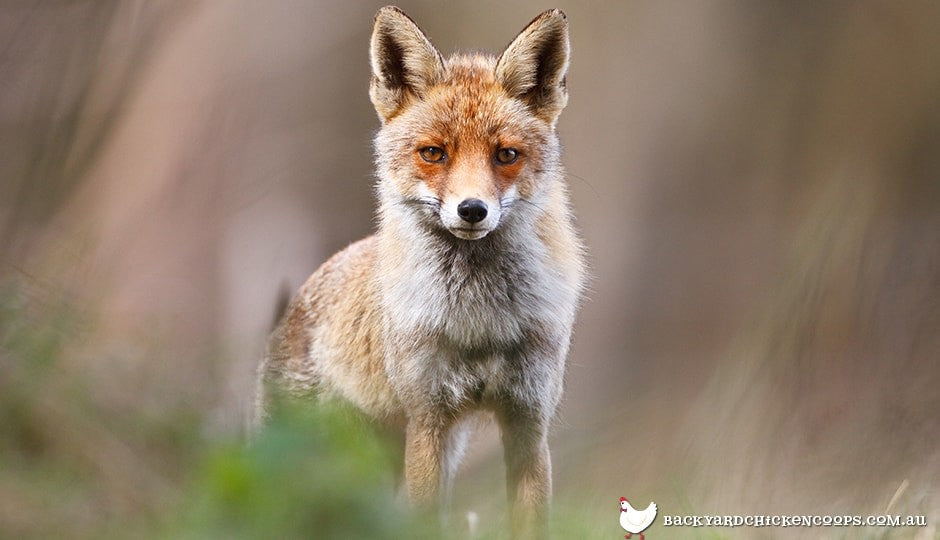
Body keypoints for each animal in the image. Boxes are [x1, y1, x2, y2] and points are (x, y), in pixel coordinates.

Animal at [253, 6, 584, 536]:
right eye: (434, 153)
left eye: (506, 155)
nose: (472, 210)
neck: (479, 322)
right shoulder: (429, 419)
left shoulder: (528, 422)